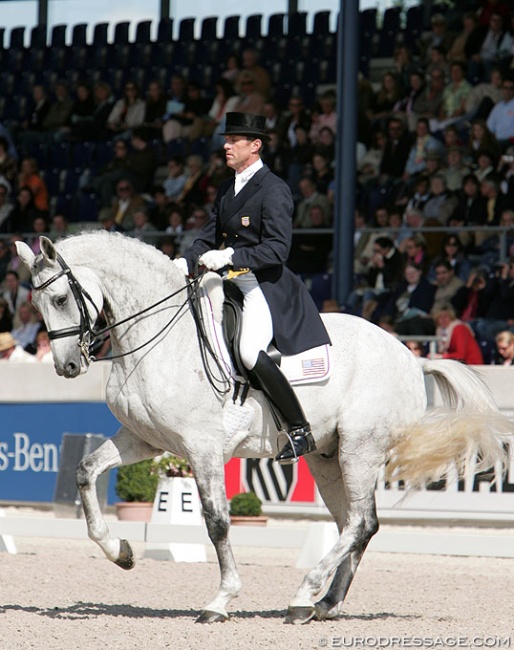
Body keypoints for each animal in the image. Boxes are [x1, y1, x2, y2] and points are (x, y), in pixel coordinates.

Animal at [17, 233, 512, 624]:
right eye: (36, 304)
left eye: (60, 299)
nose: (66, 366)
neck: (157, 338)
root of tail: (411, 356)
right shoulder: (143, 440)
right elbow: (85, 471)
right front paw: (120, 551)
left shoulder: (203, 448)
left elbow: (217, 521)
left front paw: (220, 600)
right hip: (328, 456)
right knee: (353, 523)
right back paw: (323, 603)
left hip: (361, 448)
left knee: (361, 522)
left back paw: (304, 593)